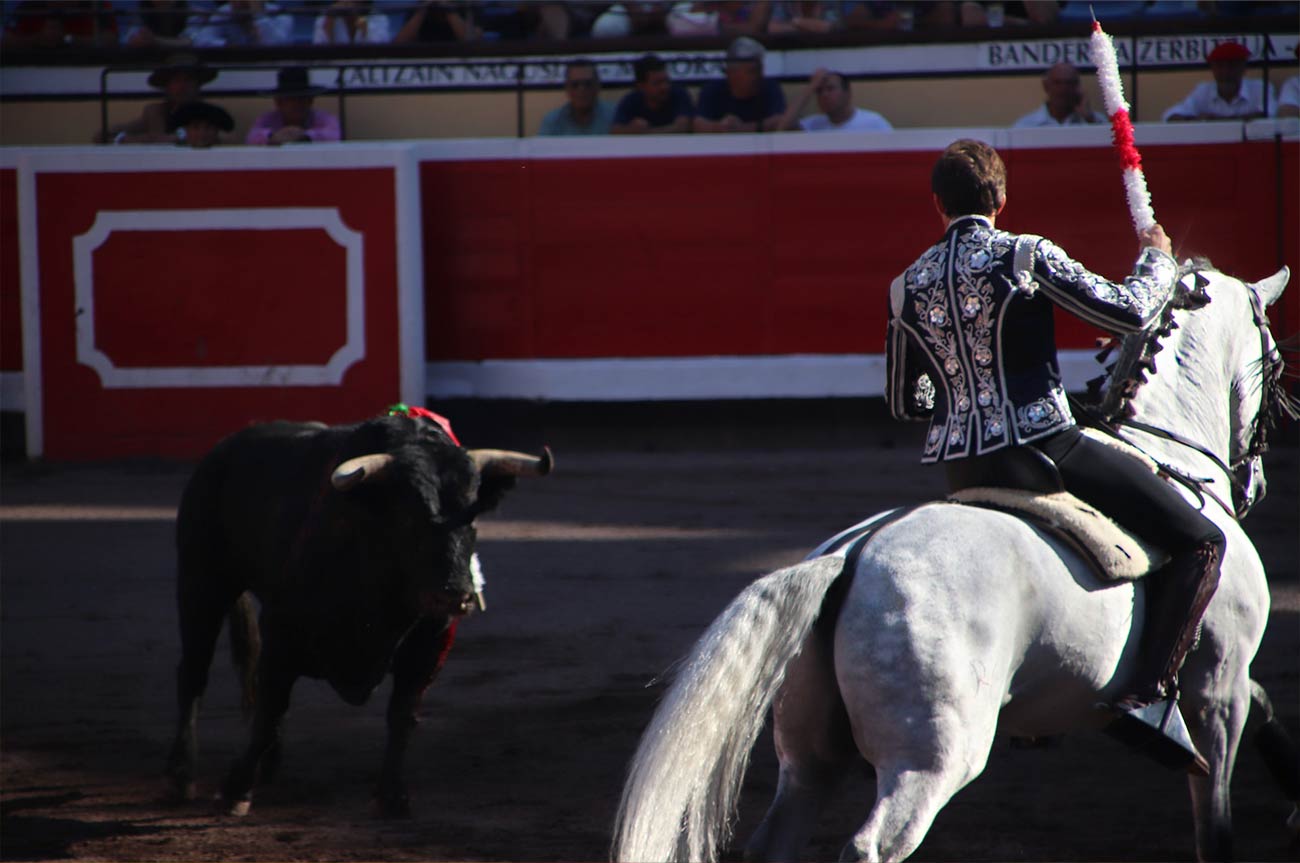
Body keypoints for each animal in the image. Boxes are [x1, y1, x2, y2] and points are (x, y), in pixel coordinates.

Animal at [165, 415, 551, 811]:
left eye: (473, 516)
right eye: (408, 518)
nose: (455, 593)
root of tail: (223, 449)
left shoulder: (429, 645)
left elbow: (403, 715)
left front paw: (393, 795)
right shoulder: (281, 633)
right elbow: (269, 712)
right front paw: (236, 789)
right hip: (202, 583)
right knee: (194, 673)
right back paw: (182, 775)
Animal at [613, 265, 1294, 863]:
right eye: (1276, 359)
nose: (1256, 482)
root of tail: (853, 555)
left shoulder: (1216, 686)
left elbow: (1266, 703)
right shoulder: (1217, 686)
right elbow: (1216, 817)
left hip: (809, 757)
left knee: (774, 839)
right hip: (935, 756)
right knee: (872, 845)